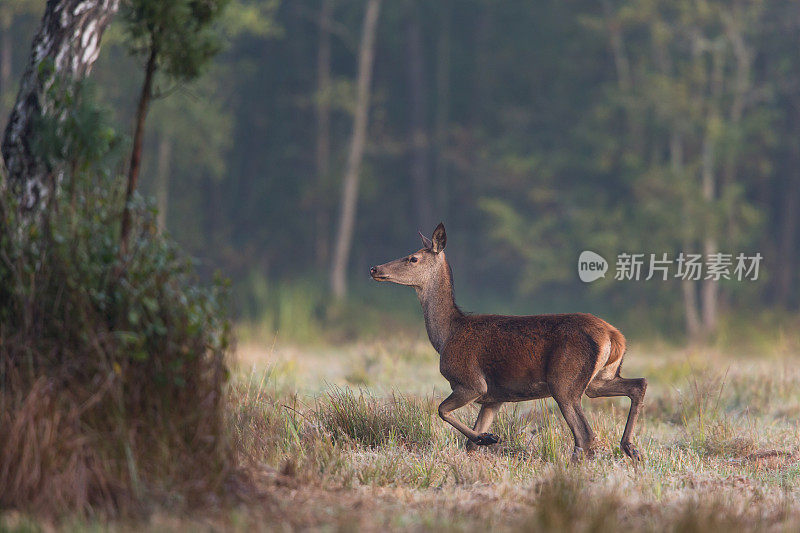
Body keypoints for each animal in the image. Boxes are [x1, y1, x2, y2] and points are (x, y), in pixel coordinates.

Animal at [372, 222, 648, 460]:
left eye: (413, 258)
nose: (375, 269)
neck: (446, 335)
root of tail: (615, 336)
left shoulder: (471, 382)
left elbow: (441, 410)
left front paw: (489, 437)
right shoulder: (494, 398)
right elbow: (469, 444)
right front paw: (484, 439)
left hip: (564, 380)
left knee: (585, 435)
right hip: (599, 379)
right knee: (638, 384)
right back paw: (631, 448)